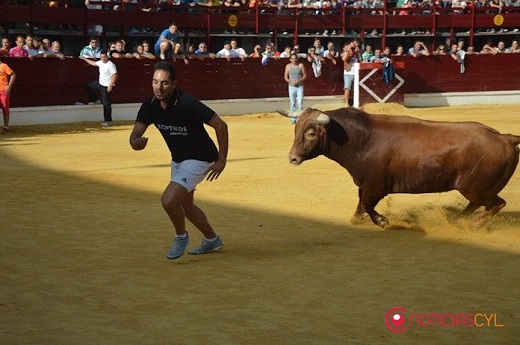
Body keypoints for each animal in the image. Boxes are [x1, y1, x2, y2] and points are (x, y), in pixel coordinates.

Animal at [288, 107, 520, 226]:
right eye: (296, 129)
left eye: (311, 133)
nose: (292, 158)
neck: (362, 139)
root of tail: (505, 138)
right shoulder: (364, 183)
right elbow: (361, 202)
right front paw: (357, 218)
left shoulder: (376, 187)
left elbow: (367, 203)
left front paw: (381, 221)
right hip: (477, 189)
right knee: (478, 204)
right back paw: (455, 219)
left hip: (477, 188)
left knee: (494, 204)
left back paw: (474, 224)